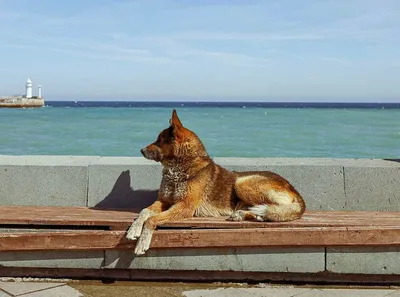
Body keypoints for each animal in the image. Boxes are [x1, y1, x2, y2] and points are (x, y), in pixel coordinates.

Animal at [126, 108, 304, 254]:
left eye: (159, 140)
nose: (141, 150)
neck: (180, 168)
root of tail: (296, 193)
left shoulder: (184, 206)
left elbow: (151, 219)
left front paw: (142, 242)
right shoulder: (163, 201)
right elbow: (144, 212)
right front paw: (134, 230)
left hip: (242, 182)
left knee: (274, 207)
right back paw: (246, 215)